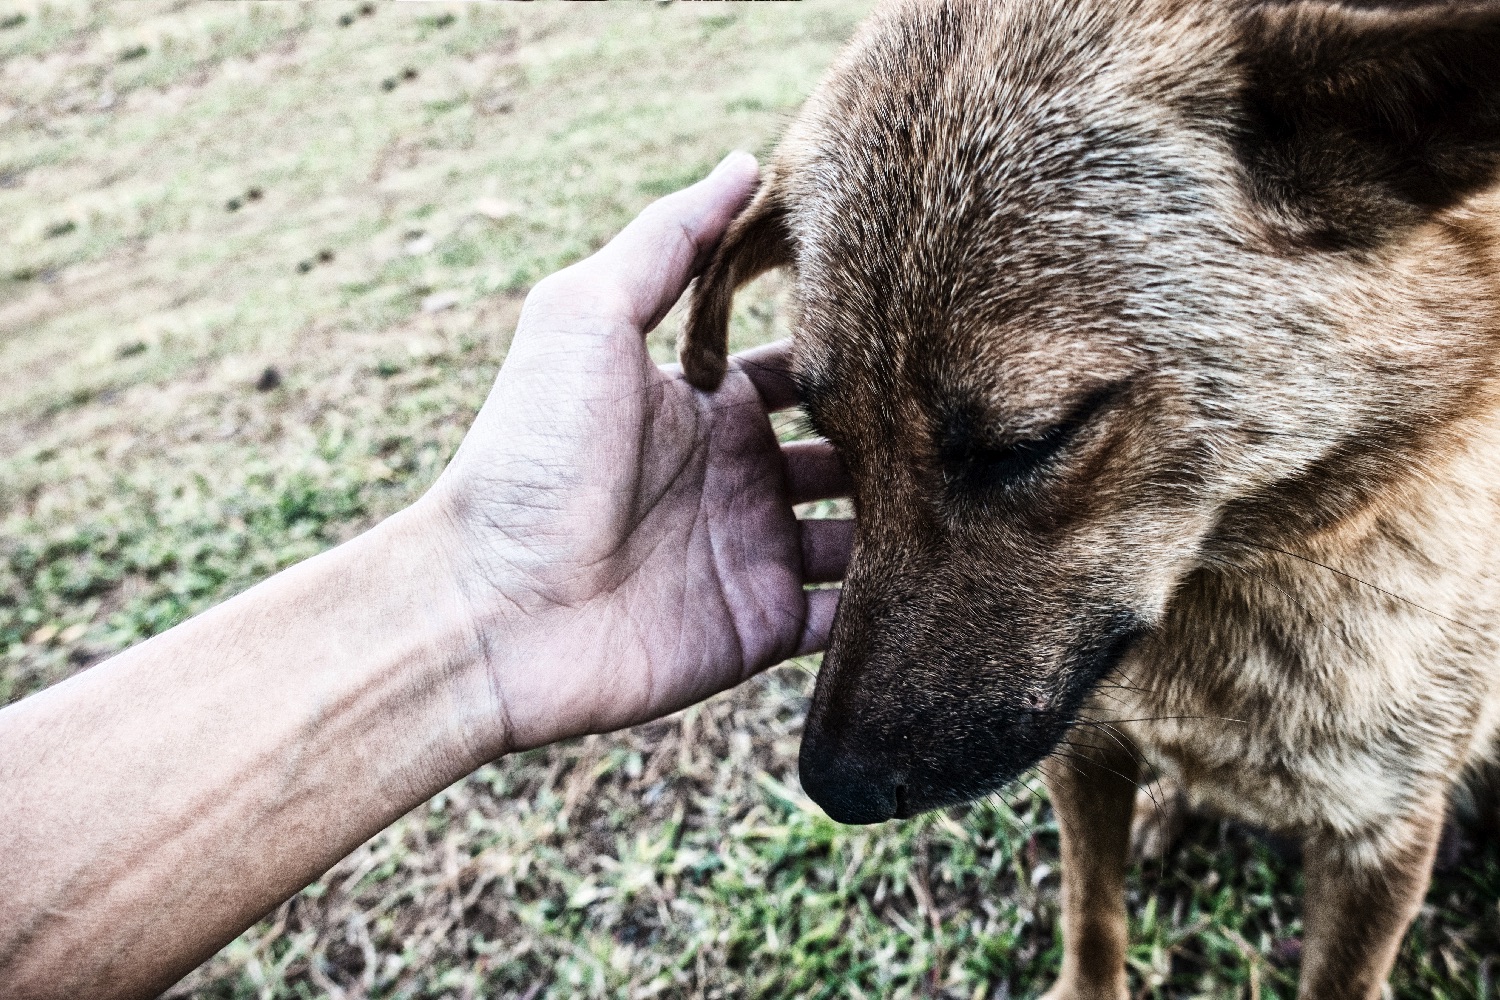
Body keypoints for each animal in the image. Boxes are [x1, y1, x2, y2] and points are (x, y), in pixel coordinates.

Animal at [678, 3, 1500, 995]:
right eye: (831, 437)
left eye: (1029, 444)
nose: (835, 787)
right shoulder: (1085, 745)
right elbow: (1092, 915)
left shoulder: (1378, 839)